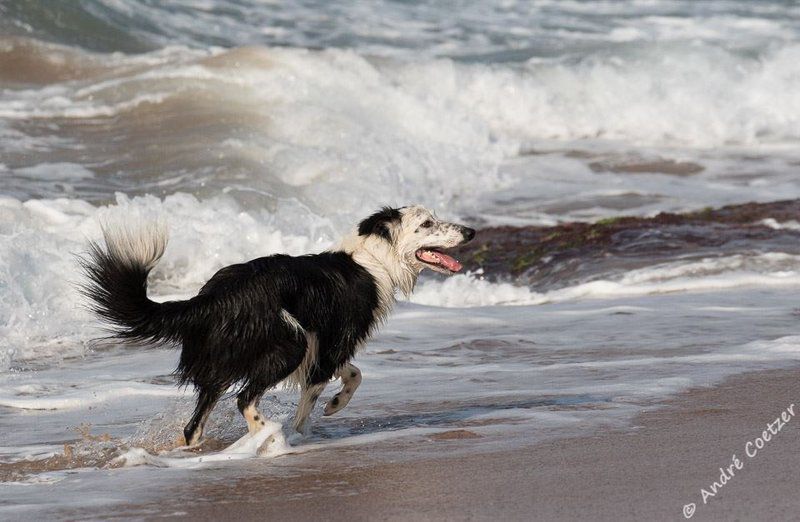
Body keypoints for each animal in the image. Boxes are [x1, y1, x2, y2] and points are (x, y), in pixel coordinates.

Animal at [79, 203, 476, 442]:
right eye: (426, 224)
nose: (471, 232)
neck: (374, 259)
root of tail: (211, 297)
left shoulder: (325, 346)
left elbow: (354, 374)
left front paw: (335, 404)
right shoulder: (330, 344)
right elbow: (315, 398)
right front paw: (307, 429)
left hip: (224, 364)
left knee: (194, 424)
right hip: (288, 342)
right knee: (244, 399)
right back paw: (266, 434)